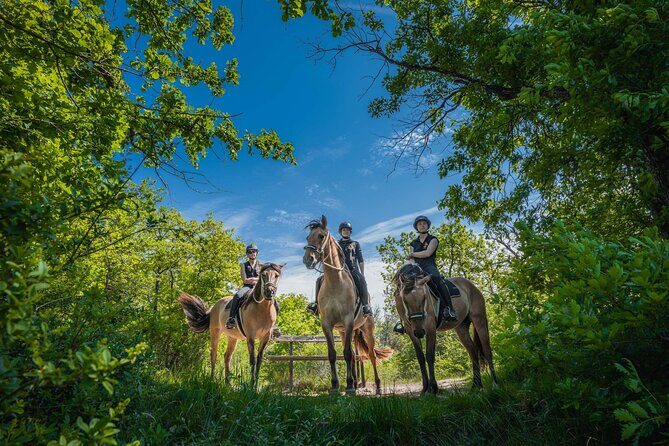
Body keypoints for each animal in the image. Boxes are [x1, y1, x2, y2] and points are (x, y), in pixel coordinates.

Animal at [303, 215, 392, 395]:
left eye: (321, 236)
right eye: (308, 237)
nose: (308, 259)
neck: (335, 284)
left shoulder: (348, 321)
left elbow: (347, 354)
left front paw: (349, 388)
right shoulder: (327, 324)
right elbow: (333, 354)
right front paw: (335, 386)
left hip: (366, 329)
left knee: (371, 355)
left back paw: (377, 387)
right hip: (344, 332)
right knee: (351, 352)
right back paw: (354, 384)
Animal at [393, 263, 497, 394]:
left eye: (424, 297)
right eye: (404, 300)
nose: (420, 332)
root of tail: (471, 285)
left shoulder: (430, 327)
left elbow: (430, 355)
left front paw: (433, 388)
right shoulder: (410, 330)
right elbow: (421, 358)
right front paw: (424, 388)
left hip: (479, 320)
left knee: (487, 350)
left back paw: (495, 384)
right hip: (461, 327)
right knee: (473, 351)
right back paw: (476, 385)